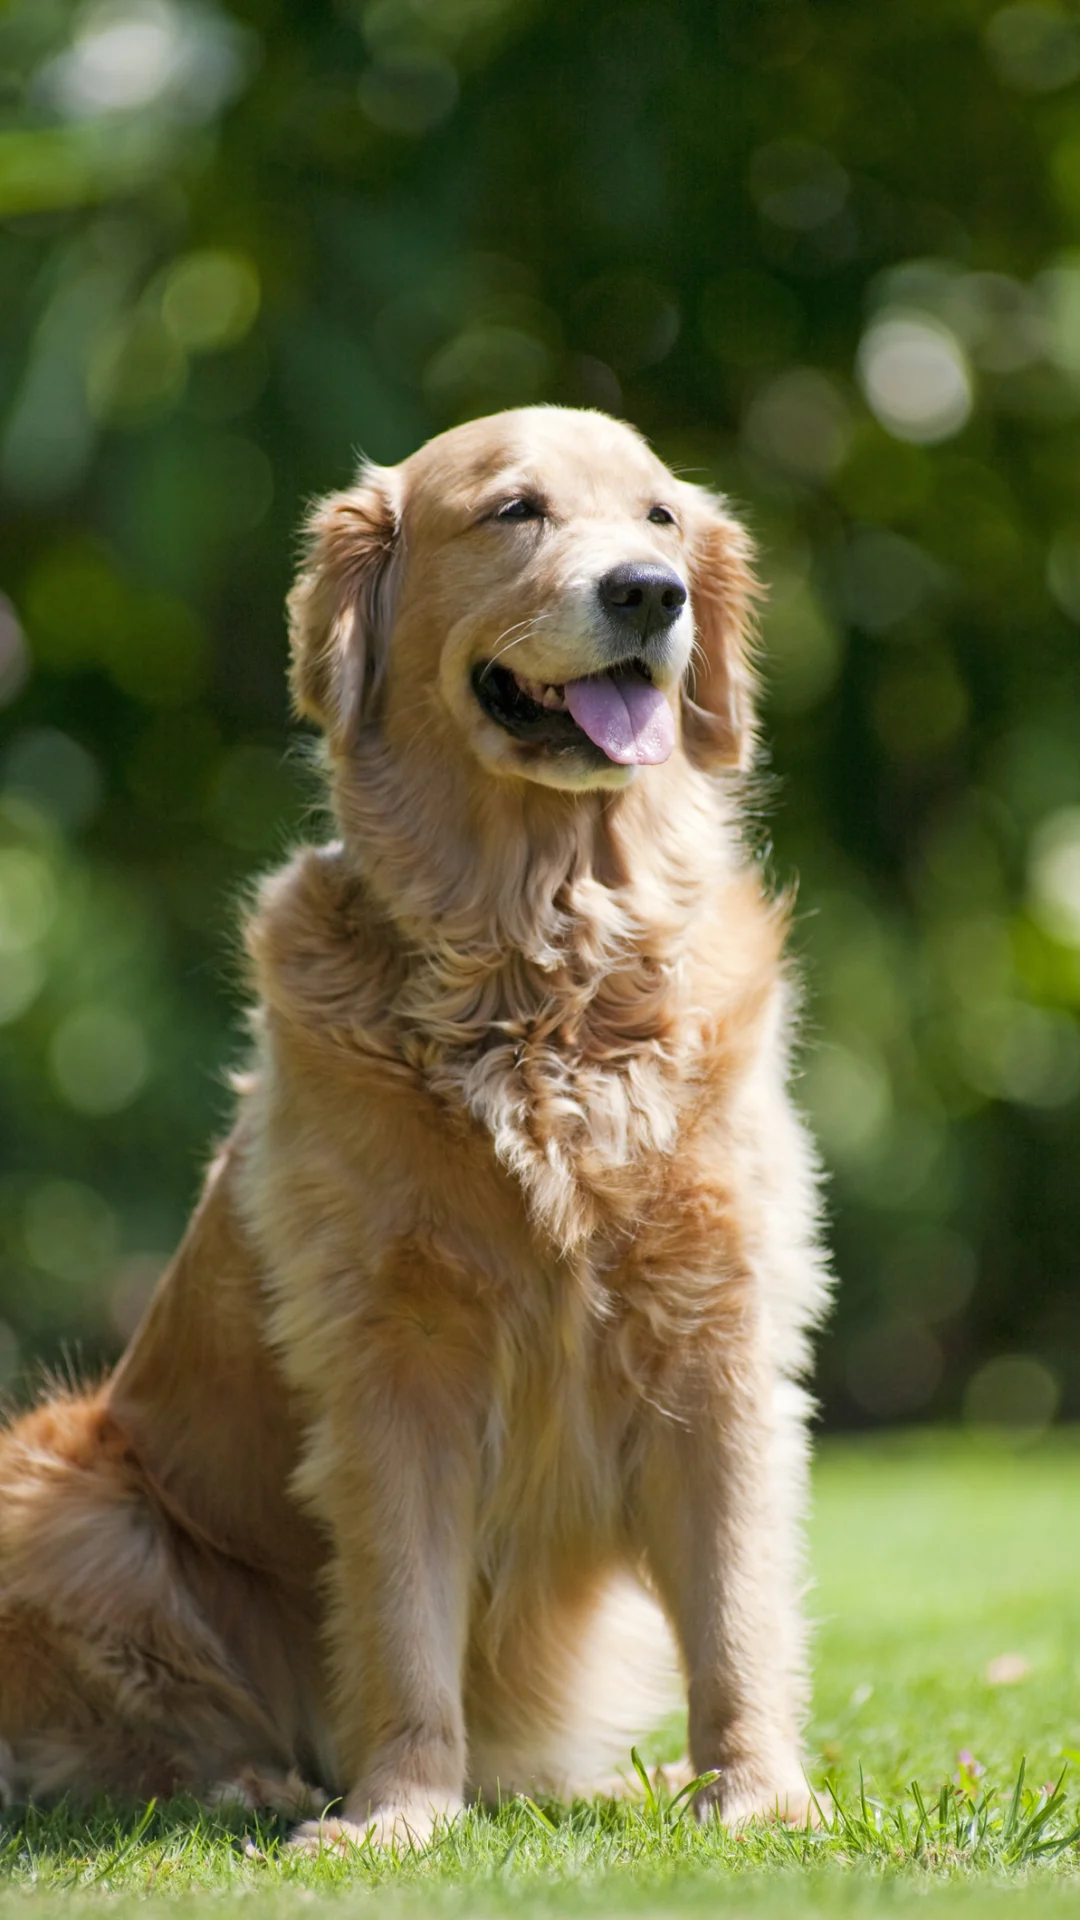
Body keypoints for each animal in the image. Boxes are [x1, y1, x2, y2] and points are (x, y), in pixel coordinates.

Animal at [0, 401, 834, 1843]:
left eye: (662, 516)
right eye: (514, 510)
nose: (649, 593)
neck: (541, 966)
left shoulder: (717, 1328)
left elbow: (736, 1606)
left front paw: (756, 1797)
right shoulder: (395, 1354)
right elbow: (401, 1616)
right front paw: (397, 1813)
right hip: (66, 1497)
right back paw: (256, 1781)